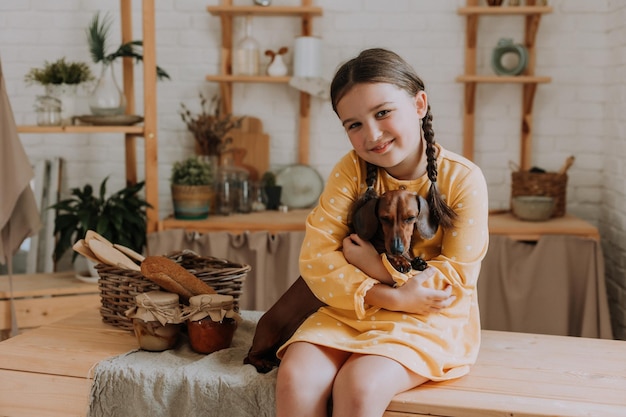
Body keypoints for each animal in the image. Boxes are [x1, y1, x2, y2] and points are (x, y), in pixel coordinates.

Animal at [244, 188, 434, 370]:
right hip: (268, 336)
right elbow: (383, 254)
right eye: (384, 218)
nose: (397, 248)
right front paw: (400, 260)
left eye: (410, 218)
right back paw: (262, 363)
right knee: (249, 357)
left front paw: (416, 260)